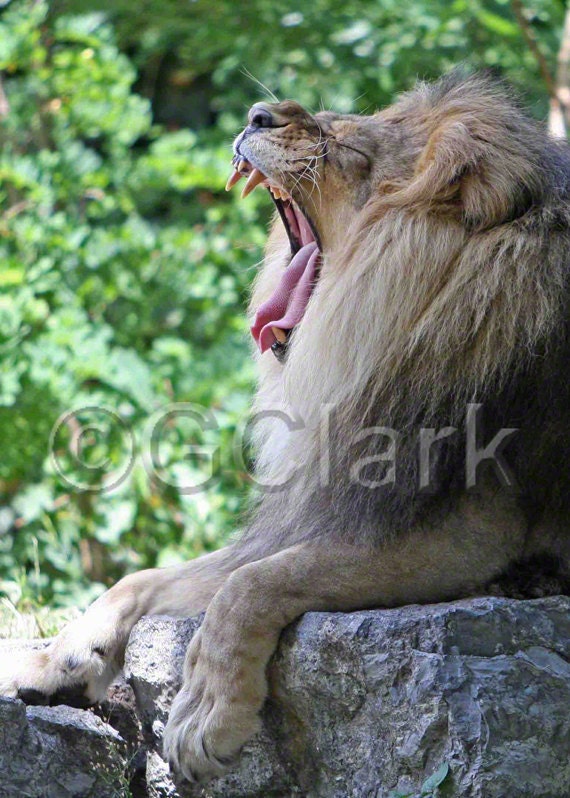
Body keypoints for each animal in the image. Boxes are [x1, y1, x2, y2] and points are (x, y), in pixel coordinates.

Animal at [2, 71, 570, 783]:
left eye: (346, 145)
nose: (257, 114)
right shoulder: (318, 508)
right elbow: (151, 579)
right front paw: (54, 662)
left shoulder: (463, 533)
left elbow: (250, 585)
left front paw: (206, 715)